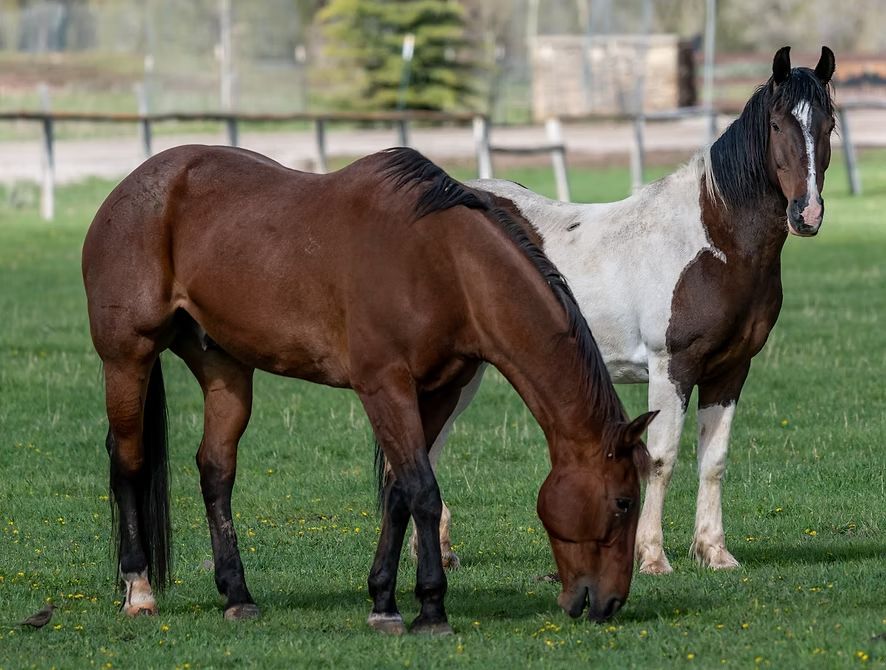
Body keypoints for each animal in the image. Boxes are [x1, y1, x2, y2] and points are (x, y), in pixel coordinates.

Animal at [81, 145, 656, 632]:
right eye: (625, 501)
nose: (609, 603)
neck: (444, 265)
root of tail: (129, 189)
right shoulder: (385, 387)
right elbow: (422, 491)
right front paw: (431, 609)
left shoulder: (438, 392)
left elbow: (399, 492)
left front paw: (384, 601)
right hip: (128, 357)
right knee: (128, 461)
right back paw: (139, 590)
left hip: (224, 368)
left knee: (216, 470)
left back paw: (238, 595)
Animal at [418, 46, 836, 575]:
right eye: (778, 124)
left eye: (828, 124)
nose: (807, 213)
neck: (713, 243)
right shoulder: (672, 366)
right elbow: (660, 459)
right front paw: (653, 557)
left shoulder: (730, 370)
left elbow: (713, 461)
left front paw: (715, 553)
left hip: (464, 371)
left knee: (429, 449)